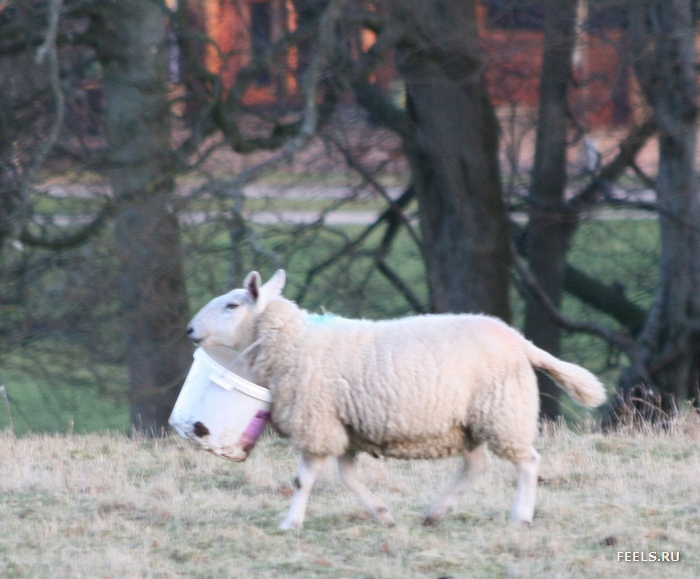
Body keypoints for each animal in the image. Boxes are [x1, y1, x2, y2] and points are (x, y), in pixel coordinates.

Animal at [186, 270, 608, 532]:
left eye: (232, 306)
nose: (189, 329)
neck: (293, 342)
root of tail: (519, 340)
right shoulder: (345, 428)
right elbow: (348, 477)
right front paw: (383, 515)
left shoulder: (317, 422)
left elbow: (303, 479)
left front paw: (290, 523)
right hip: (466, 423)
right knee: (476, 466)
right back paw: (435, 513)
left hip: (503, 413)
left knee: (528, 463)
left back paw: (520, 516)